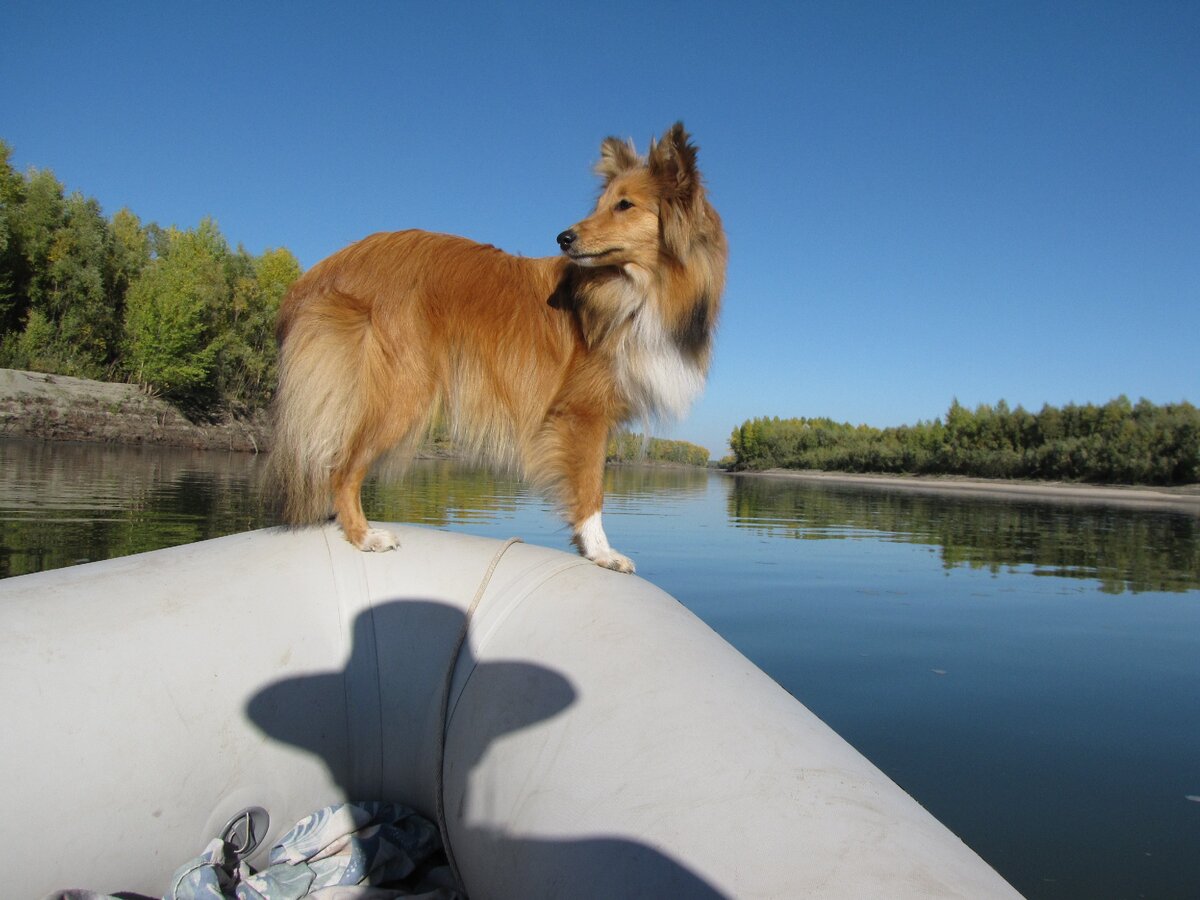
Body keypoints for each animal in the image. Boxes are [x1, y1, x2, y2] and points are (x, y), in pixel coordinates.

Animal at [270, 123, 720, 573]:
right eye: (602, 205)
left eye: (625, 205)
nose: (563, 237)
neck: (639, 289)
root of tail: (330, 266)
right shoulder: (583, 414)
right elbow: (591, 488)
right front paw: (601, 552)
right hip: (403, 390)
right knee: (341, 468)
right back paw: (365, 536)